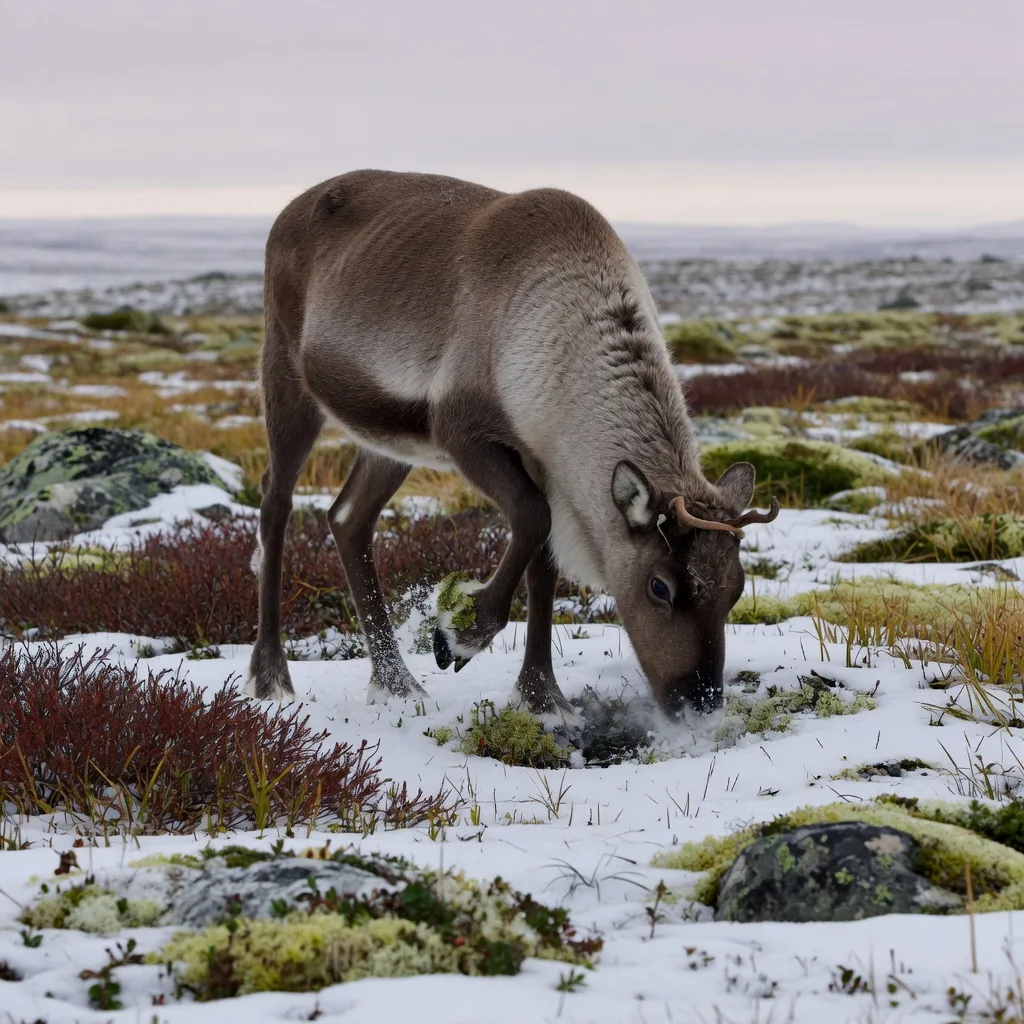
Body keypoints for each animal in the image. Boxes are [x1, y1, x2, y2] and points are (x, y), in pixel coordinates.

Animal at [247, 169, 778, 727]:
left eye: (736, 588)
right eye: (660, 586)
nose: (699, 702)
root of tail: (289, 209)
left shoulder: (547, 464)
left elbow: (543, 566)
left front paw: (543, 698)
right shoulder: (463, 432)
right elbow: (532, 516)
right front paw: (459, 636)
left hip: (390, 441)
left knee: (348, 518)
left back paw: (396, 685)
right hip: (285, 373)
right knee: (276, 501)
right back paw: (271, 676)